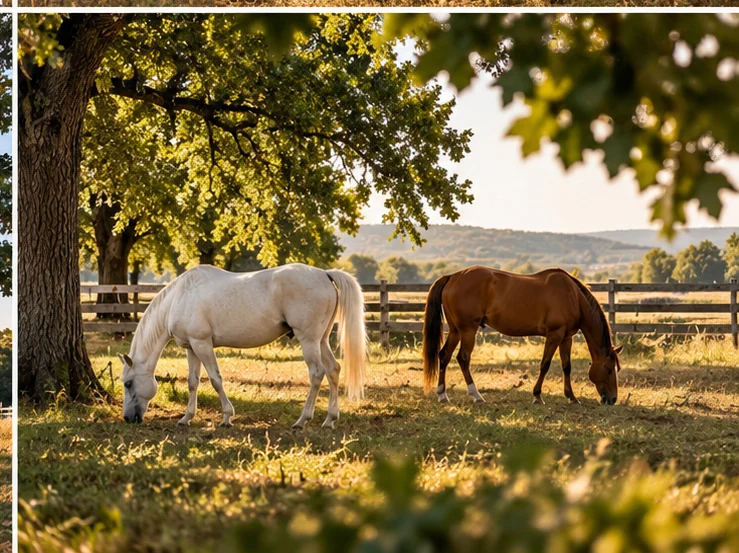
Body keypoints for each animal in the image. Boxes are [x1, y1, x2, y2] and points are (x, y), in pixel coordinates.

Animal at [118, 263, 367, 429]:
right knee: (333, 370)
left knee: (317, 374)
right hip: (321, 341)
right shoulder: (191, 348)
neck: (180, 297)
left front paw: (227, 418)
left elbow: (216, 380)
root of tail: (324, 274)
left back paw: (302, 420)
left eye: (128, 383)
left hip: (309, 341)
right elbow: (192, 383)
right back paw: (329, 420)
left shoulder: (202, 344)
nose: (128, 418)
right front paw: (186, 418)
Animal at [422, 266, 622, 406]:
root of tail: (452, 277)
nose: (612, 399)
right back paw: (476, 396)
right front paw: (537, 396)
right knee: (463, 358)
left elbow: (567, 367)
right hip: (468, 330)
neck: (572, 296)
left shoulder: (566, 338)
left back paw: (442, 395)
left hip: (456, 331)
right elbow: (545, 365)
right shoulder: (554, 335)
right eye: (608, 369)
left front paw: (571, 397)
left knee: (444, 356)